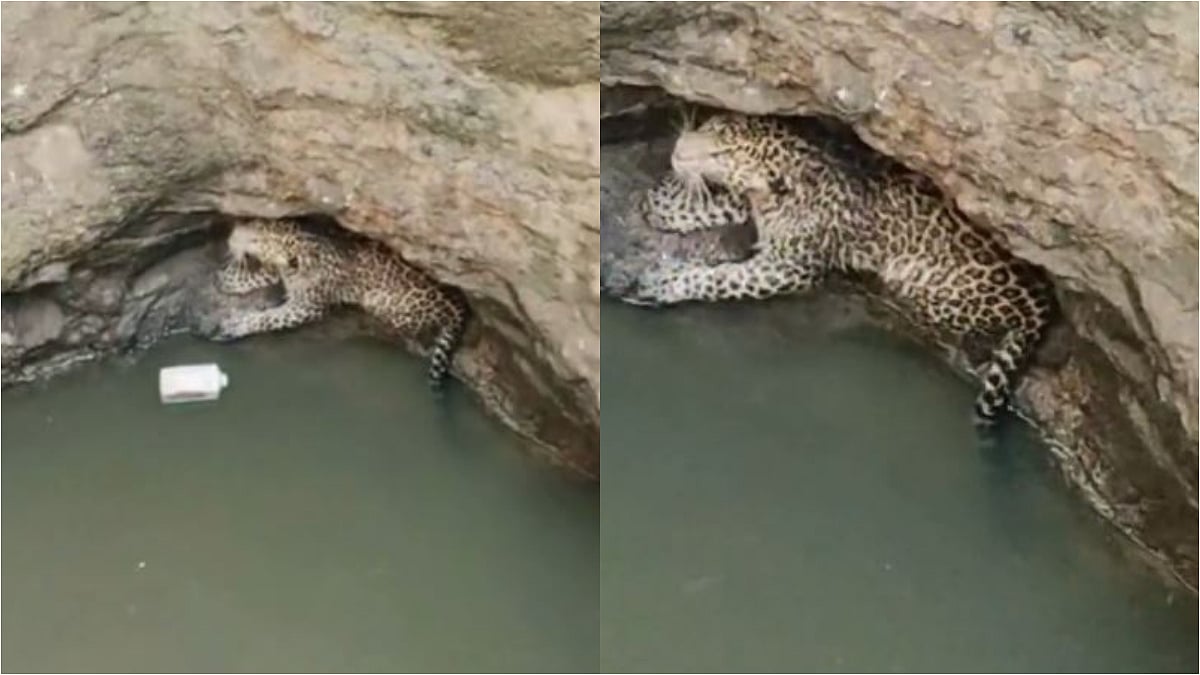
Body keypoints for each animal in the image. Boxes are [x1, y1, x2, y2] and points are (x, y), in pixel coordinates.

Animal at [211, 219, 469, 390]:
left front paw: (237, 325)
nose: (231, 235)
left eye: (257, 239)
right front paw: (227, 277)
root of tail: (460, 305)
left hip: (379, 302)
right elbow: (256, 275)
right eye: (252, 223)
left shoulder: (307, 307)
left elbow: (268, 317)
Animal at [624, 112, 1056, 427]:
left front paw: (666, 281)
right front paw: (667, 203)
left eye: (721, 154)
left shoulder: (789, 268)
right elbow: (730, 202)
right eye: (711, 126)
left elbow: (722, 278)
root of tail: (1043, 302)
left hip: (923, 285)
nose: (678, 150)